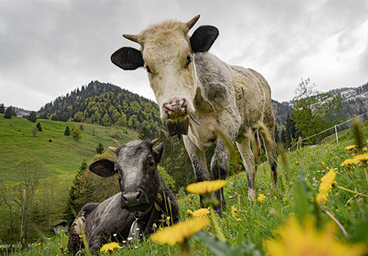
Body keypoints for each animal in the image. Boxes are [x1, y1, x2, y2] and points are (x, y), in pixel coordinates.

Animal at [110, 14, 278, 214]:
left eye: (189, 57)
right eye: (148, 67)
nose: (175, 106)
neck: (199, 104)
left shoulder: (228, 122)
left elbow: (218, 166)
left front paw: (219, 211)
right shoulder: (189, 139)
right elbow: (200, 176)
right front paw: (207, 214)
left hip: (267, 121)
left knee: (271, 153)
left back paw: (277, 189)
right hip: (242, 134)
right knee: (249, 161)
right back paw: (252, 197)